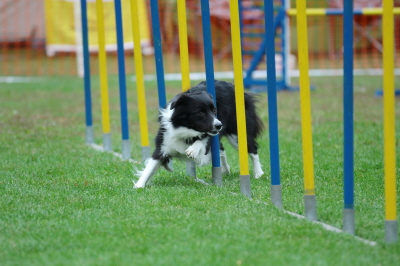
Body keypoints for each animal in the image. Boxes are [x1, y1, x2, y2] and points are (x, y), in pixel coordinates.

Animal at [135, 80, 266, 188]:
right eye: (200, 113)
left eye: (214, 111)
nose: (219, 125)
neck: (185, 128)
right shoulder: (164, 144)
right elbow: (150, 166)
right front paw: (139, 186)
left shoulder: (206, 147)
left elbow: (202, 141)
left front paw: (192, 150)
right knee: (222, 149)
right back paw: (225, 170)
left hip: (237, 134)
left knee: (252, 149)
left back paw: (258, 173)